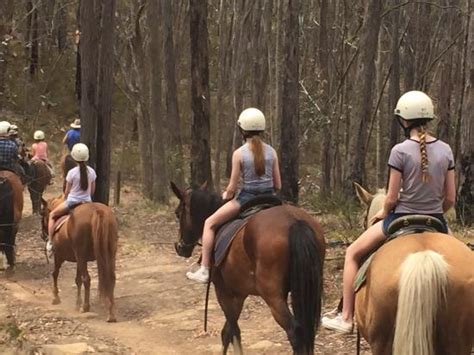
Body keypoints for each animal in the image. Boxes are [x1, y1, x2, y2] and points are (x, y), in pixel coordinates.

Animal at [40, 196, 118, 324]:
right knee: (111, 278)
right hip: (109, 254)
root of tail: (97, 211)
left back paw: (86, 307)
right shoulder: (79, 260)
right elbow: (77, 280)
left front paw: (56, 297)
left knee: (87, 279)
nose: (42, 235)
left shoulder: (60, 256)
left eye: (42, 213)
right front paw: (77, 303)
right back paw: (110, 313)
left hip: (81, 255)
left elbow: (55, 274)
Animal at [170, 184, 326, 355]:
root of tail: (295, 221)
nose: (180, 247)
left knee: (295, 332)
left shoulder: (223, 291)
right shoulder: (239, 293)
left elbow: (232, 330)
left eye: (177, 214)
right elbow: (228, 332)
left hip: (273, 297)